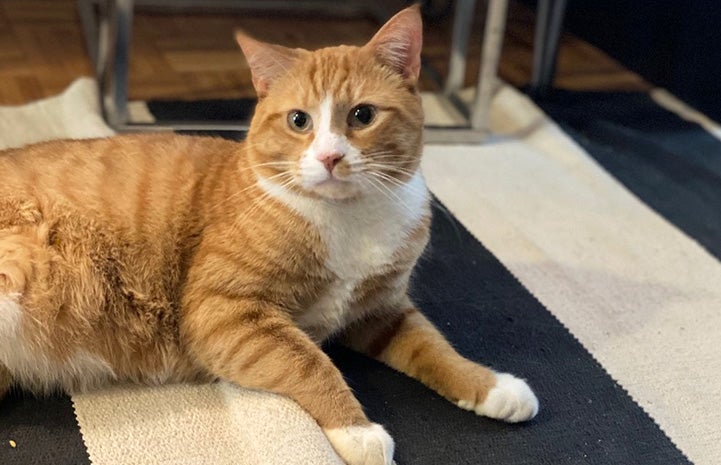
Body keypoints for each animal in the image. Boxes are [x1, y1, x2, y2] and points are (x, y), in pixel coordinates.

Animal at [0, 4, 536, 464]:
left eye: (362, 115)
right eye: (300, 120)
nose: (329, 157)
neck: (349, 222)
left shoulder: (381, 312)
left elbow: (435, 349)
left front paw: (492, 387)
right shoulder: (224, 313)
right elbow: (310, 363)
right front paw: (357, 430)